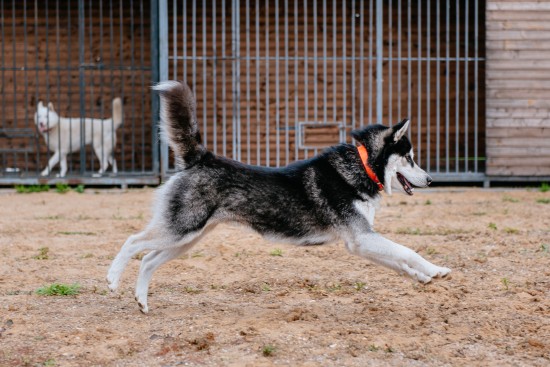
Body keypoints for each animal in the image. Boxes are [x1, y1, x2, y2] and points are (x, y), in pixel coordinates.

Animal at [108, 80, 452, 314]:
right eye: (410, 157)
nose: (431, 179)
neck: (363, 166)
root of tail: (201, 158)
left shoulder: (360, 242)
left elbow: (399, 261)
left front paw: (421, 278)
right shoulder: (362, 238)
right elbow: (408, 251)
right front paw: (436, 269)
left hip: (187, 238)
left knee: (149, 260)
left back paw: (142, 301)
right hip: (180, 229)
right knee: (133, 243)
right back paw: (112, 279)